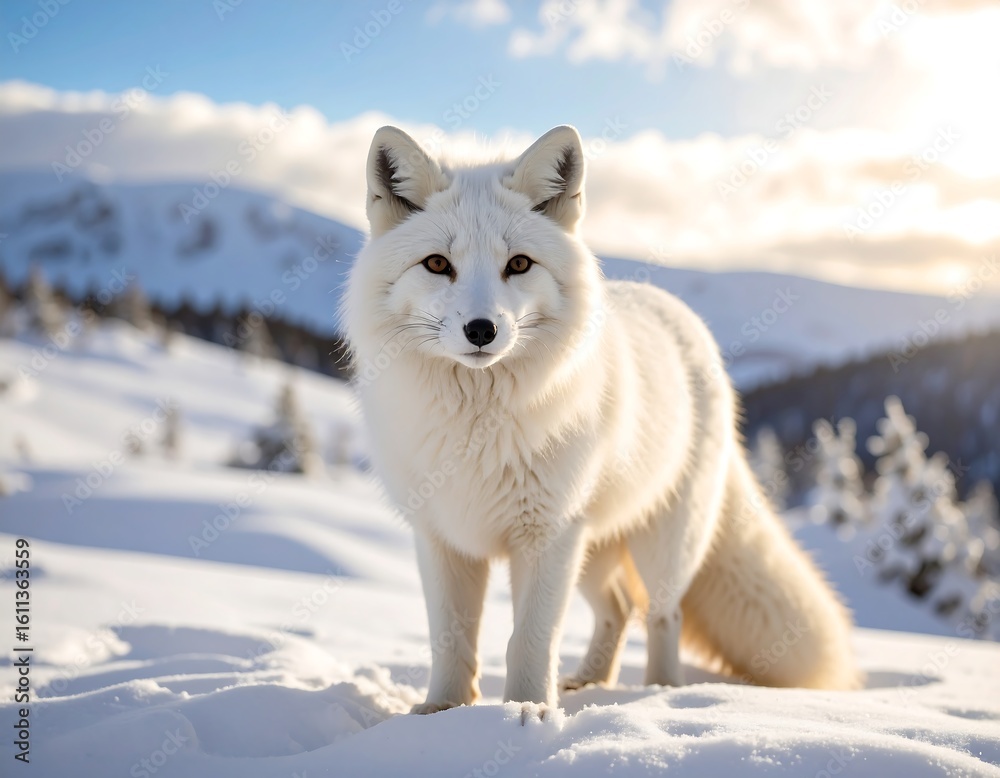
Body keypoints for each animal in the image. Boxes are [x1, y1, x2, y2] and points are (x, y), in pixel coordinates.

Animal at [343, 124, 861, 719]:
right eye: (436, 265)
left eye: (518, 265)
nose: (481, 330)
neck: (478, 429)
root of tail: (679, 314)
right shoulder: (443, 537)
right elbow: (451, 638)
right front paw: (442, 712)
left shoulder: (546, 537)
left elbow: (530, 640)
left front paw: (525, 712)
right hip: (590, 550)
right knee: (617, 608)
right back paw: (590, 682)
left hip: (657, 546)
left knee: (661, 615)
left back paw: (659, 693)